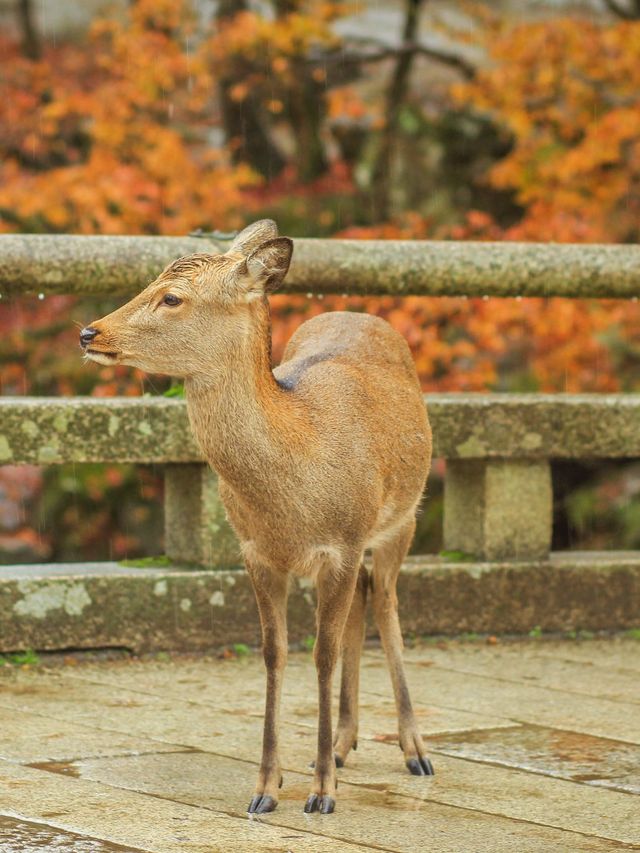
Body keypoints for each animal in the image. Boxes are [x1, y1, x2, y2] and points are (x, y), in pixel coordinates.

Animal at [77, 218, 432, 812]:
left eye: (172, 297)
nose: (89, 332)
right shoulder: (256, 552)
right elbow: (273, 654)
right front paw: (268, 787)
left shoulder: (342, 541)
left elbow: (321, 655)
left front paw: (322, 795)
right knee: (363, 604)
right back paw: (343, 744)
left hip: (402, 518)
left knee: (386, 604)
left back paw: (414, 752)